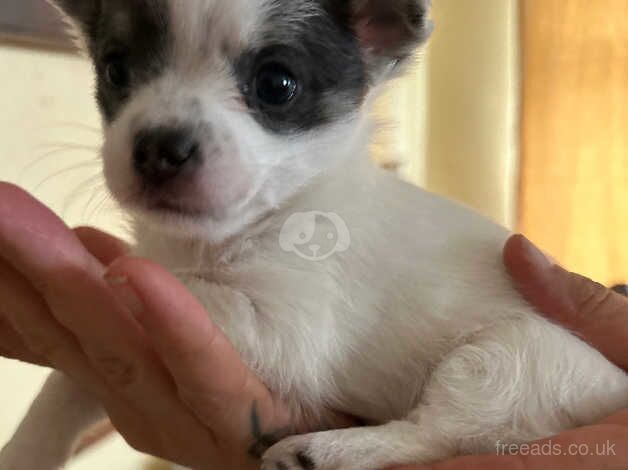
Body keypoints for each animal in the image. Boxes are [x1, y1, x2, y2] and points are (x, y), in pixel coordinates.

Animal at [1, 0, 628, 470]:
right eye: (116, 71)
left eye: (278, 85)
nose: (159, 147)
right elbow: (61, 392)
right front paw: (24, 451)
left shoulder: (283, 326)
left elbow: (171, 288)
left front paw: (107, 278)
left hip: (510, 360)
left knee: (438, 432)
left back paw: (330, 450)